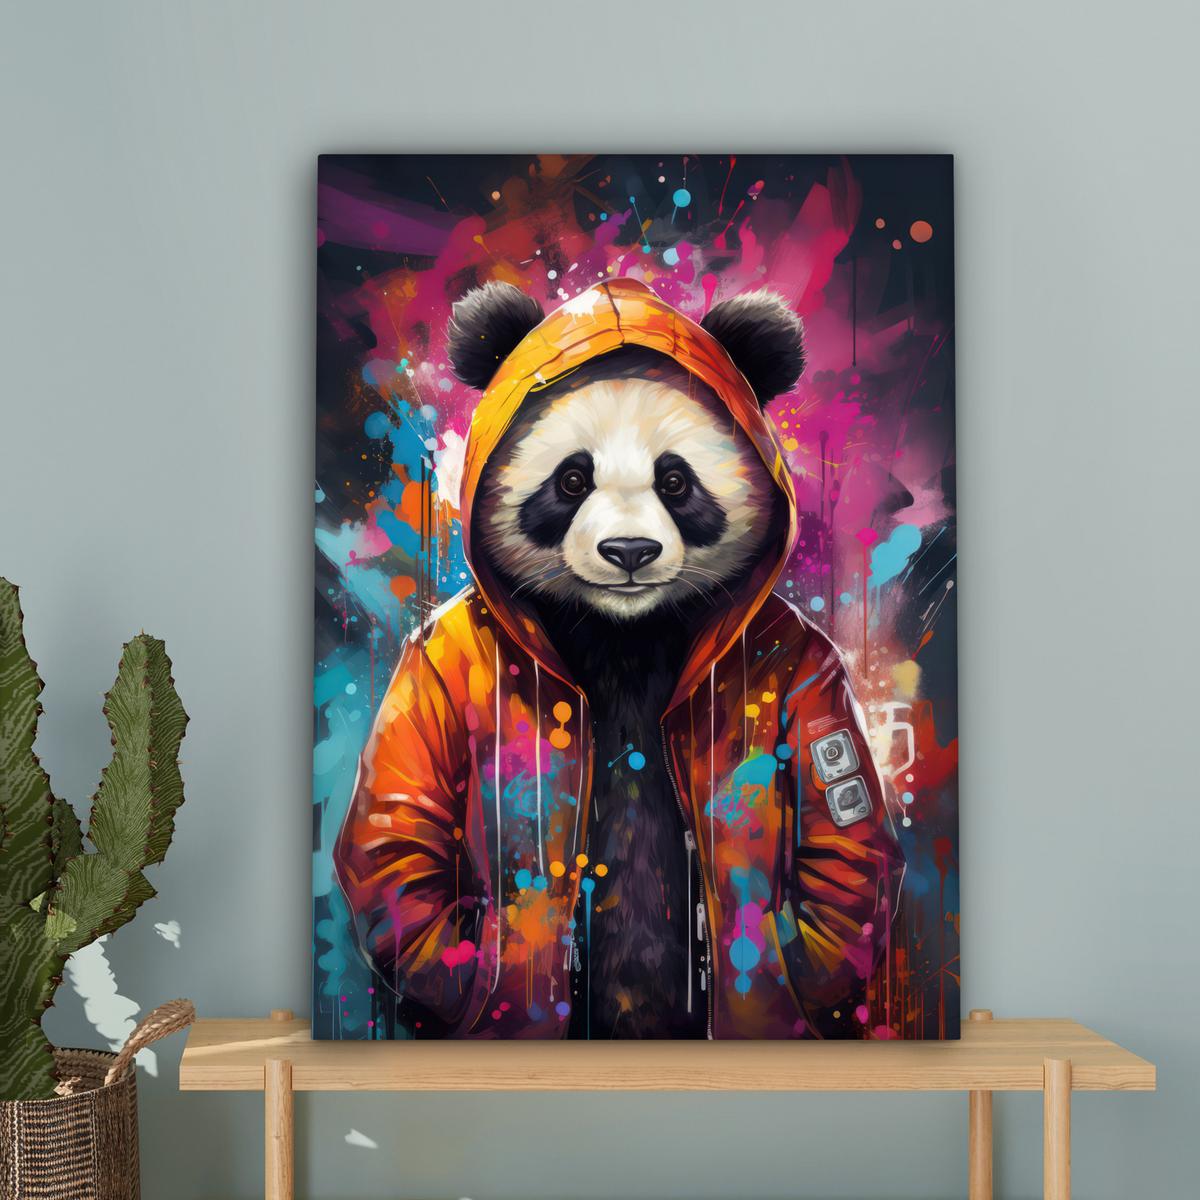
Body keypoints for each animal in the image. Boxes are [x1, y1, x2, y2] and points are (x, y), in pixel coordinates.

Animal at [335, 277, 902, 1041]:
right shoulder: (435, 660)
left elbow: (840, 845)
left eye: (676, 481)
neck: (625, 631)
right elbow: (402, 831)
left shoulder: (806, 659)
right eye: (573, 480)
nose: (629, 552)